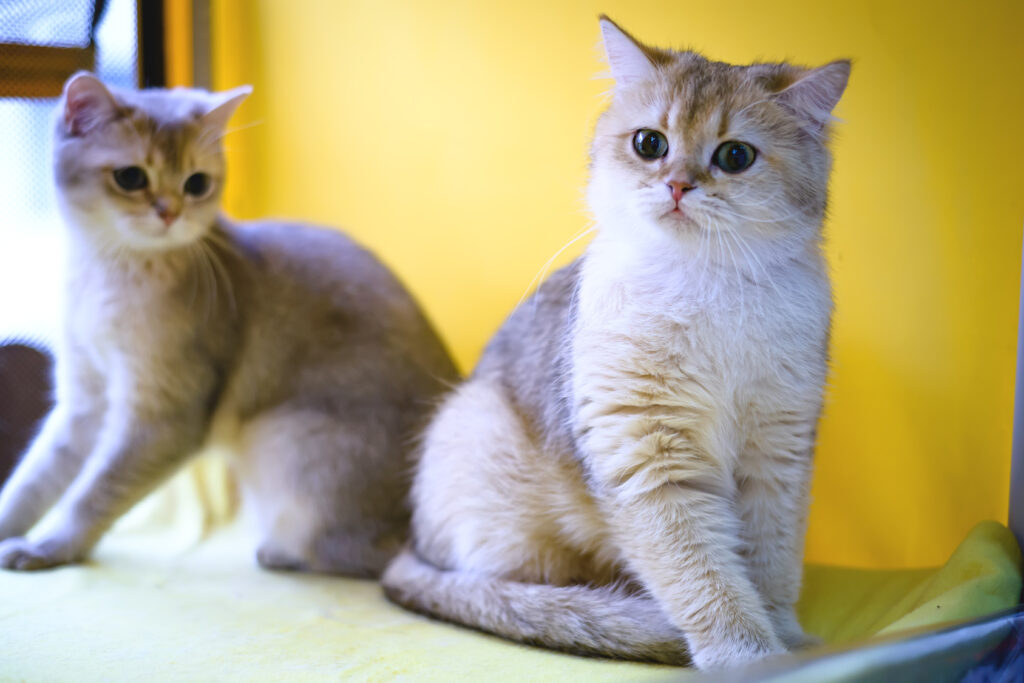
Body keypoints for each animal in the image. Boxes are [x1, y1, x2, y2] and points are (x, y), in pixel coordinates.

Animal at [0, 73, 458, 577]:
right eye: (131, 177)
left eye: (197, 183)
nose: (170, 211)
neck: (105, 273)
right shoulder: (84, 399)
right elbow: (32, 480)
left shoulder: (165, 415)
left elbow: (93, 493)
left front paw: (50, 547)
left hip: (282, 440)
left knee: (367, 556)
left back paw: (281, 552)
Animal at [382, 17, 847, 671]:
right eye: (650, 144)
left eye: (735, 156)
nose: (677, 185)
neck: (705, 286)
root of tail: (410, 546)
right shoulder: (648, 456)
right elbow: (704, 578)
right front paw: (749, 654)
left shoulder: (778, 452)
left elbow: (770, 566)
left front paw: (787, 639)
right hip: (484, 454)